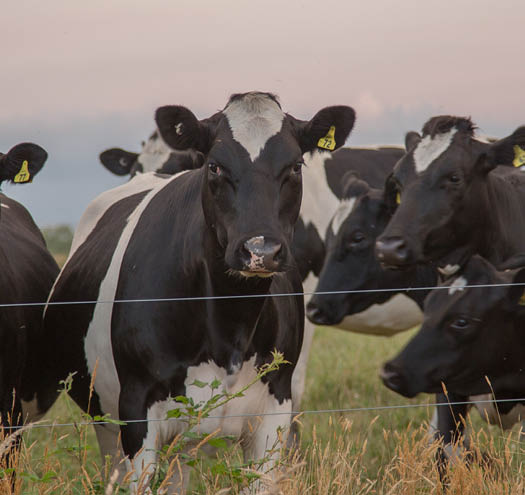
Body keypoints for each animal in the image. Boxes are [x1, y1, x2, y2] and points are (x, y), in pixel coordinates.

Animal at [44, 93, 356, 492]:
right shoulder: (136, 413)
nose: (260, 250)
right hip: (105, 418)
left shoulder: (275, 411)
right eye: (214, 167)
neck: (229, 328)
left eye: (296, 166)